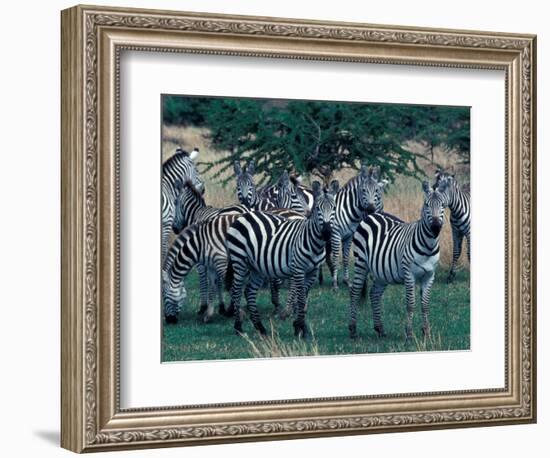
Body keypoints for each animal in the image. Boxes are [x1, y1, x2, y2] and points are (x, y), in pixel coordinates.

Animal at [225, 182, 338, 336]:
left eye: (333, 208)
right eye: (317, 209)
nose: (327, 232)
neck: (314, 243)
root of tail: (242, 217)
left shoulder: (312, 272)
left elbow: (302, 297)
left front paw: (297, 325)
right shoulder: (298, 270)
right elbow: (301, 298)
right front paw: (301, 328)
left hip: (256, 267)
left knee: (249, 291)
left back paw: (260, 327)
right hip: (239, 261)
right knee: (236, 291)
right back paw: (238, 328)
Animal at [352, 178, 450, 340]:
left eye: (443, 205)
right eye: (426, 205)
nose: (435, 227)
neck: (428, 246)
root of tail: (373, 214)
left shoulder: (430, 276)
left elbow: (425, 305)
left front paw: (426, 333)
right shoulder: (409, 274)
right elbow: (410, 304)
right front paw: (409, 334)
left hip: (382, 272)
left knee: (374, 294)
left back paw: (380, 329)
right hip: (360, 262)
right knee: (354, 292)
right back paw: (352, 330)